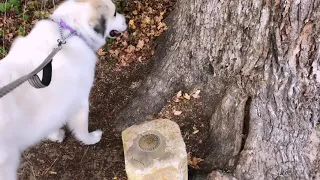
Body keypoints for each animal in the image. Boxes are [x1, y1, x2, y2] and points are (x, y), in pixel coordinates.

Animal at [0, 0, 127, 179]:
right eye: (115, 14)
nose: (127, 20)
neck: (72, 31)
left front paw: (55, 135)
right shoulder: (79, 102)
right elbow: (82, 130)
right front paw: (91, 139)